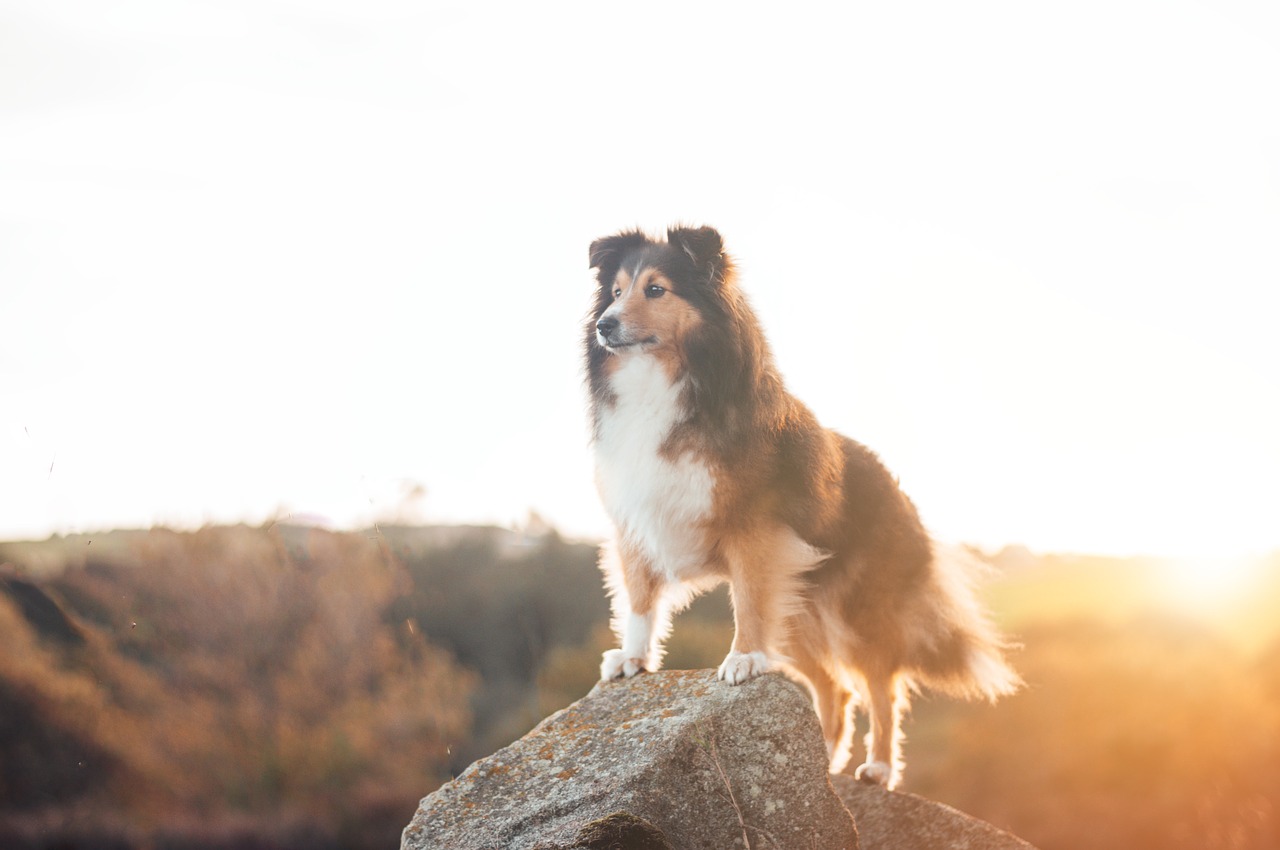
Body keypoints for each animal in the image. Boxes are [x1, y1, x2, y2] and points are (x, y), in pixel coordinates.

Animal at [583, 222, 1018, 788]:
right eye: (615, 291)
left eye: (656, 289)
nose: (604, 326)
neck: (666, 382)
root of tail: (898, 488)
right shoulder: (635, 523)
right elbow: (638, 600)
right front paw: (632, 660)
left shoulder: (753, 531)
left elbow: (747, 603)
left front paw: (743, 659)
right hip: (796, 609)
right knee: (836, 688)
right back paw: (826, 768)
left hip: (855, 609)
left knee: (882, 685)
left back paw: (878, 767)